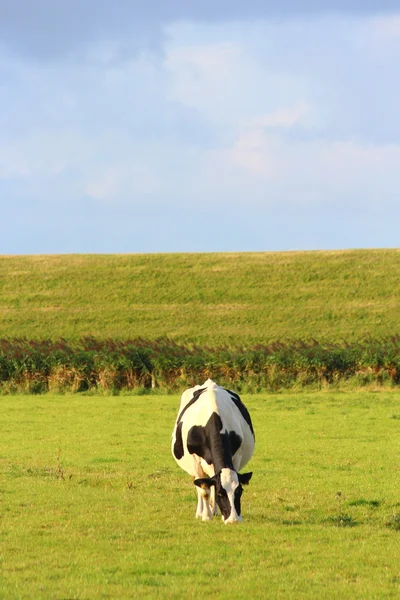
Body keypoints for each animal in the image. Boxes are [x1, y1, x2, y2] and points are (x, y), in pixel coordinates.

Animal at [170, 380, 255, 524]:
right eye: (221, 493)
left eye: (239, 491)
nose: (233, 520)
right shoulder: (195, 461)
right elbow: (204, 491)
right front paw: (206, 516)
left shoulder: (237, 456)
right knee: (199, 485)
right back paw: (200, 512)